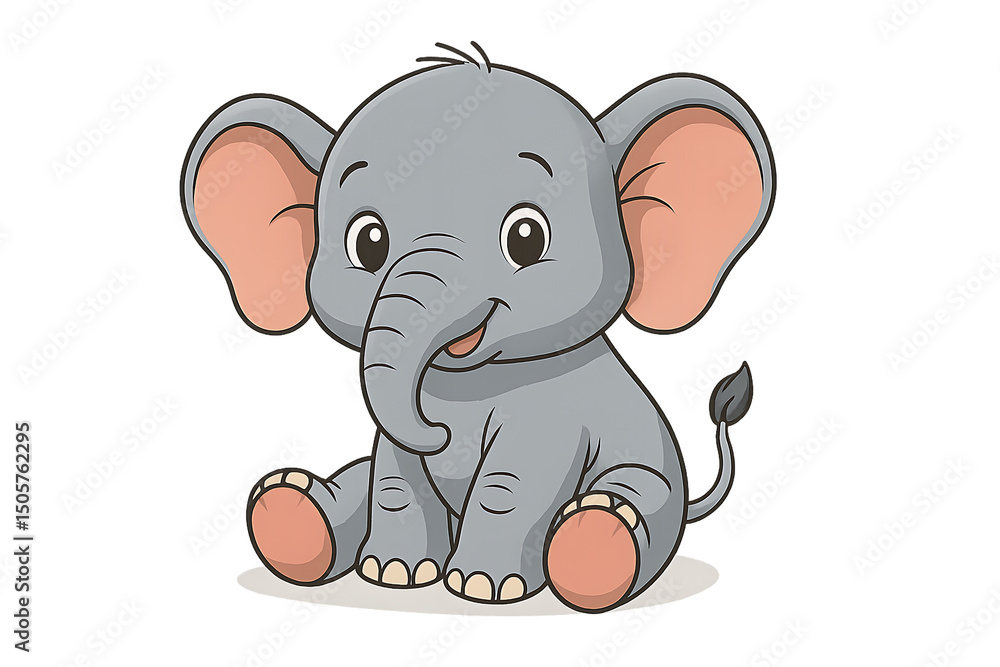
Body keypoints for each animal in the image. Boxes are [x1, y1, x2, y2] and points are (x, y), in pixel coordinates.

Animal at [180, 43, 774, 613]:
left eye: (527, 237)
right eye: (367, 243)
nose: (438, 433)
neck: (471, 377)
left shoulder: (554, 413)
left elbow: (511, 482)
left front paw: (481, 587)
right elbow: (391, 476)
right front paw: (393, 574)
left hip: (654, 477)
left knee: (638, 496)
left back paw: (598, 539)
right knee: (356, 478)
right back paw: (291, 510)